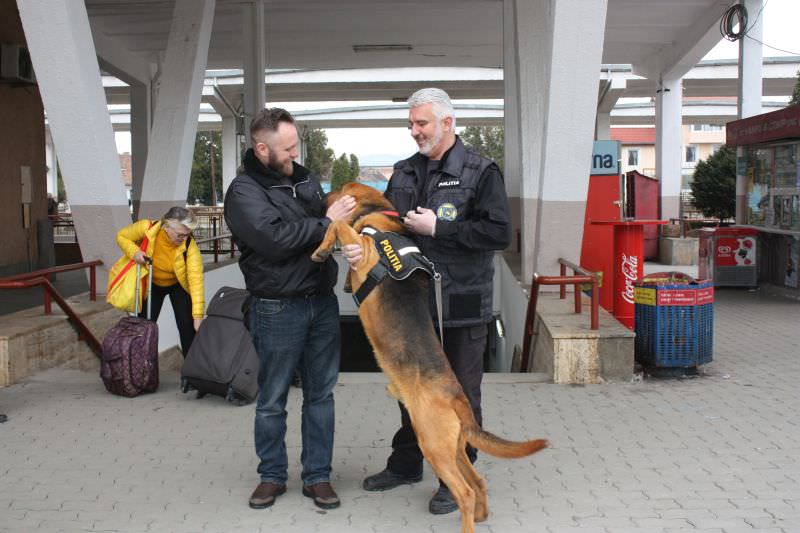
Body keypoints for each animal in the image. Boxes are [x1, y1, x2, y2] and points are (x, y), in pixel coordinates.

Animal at [312, 182, 552, 532]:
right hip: (453, 447)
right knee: (478, 481)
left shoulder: (362, 247)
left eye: (334, 192)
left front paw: (321, 248)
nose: (317, 198)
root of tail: (457, 397)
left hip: (433, 444)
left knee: (465, 491)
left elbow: (339, 225)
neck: (381, 216)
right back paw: (481, 516)